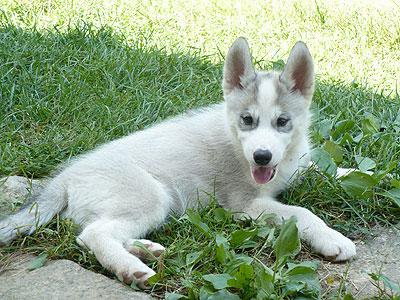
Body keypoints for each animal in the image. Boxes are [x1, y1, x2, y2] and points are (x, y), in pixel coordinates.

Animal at [0, 37, 356, 288]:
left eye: (283, 122)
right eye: (247, 120)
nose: (262, 156)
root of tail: (64, 177)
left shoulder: (299, 164)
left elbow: (330, 170)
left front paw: (356, 173)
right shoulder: (245, 205)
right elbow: (301, 212)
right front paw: (333, 239)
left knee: (92, 231)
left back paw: (145, 248)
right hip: (152, 196)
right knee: (93, 234)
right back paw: (133, 268)